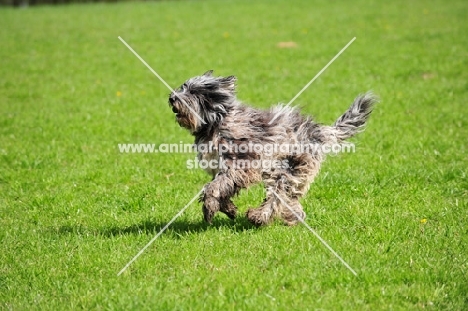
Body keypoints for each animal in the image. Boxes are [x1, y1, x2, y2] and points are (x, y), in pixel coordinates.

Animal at [168, 70, 376, 227]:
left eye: (194, 91)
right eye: (183, 87)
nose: (172, 98)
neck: (217, 121)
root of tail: (319, 131)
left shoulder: (240, 165)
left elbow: (214, 187)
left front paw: (210, 208)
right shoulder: (221, 167)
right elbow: (221, 186)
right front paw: (228, 208)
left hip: (289, 168)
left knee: (278, 196)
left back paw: (259, 217)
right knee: (290, 200)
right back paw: (292, 218)